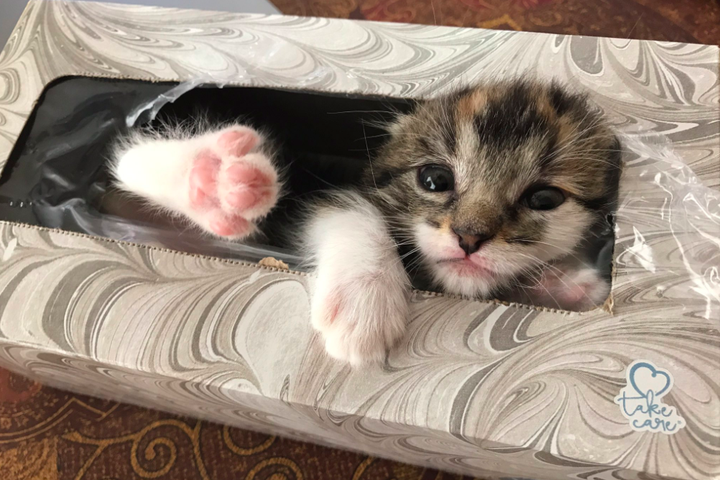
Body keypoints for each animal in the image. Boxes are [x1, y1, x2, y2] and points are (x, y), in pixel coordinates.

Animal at [109, 79, 620, 364]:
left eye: (544, 198)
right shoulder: (320, 189)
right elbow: (349, 207)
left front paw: (566, 284)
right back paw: (208, 175)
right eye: (435, 179)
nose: (469, 237)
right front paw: (365, 302)